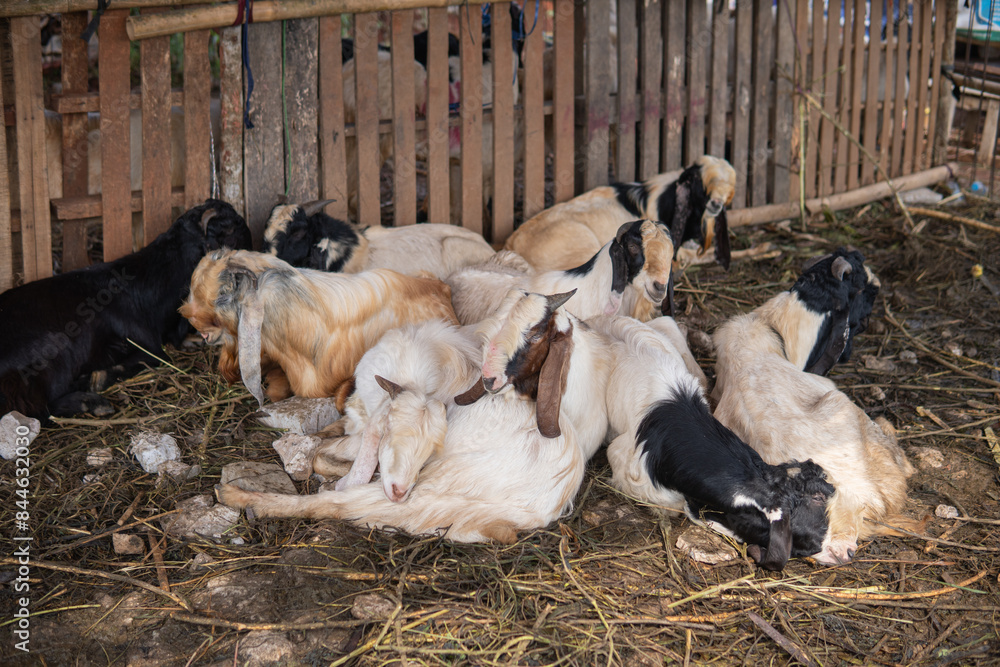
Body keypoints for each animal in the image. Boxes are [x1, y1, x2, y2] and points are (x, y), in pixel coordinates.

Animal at [0, 200, 251, 420]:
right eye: (233, 228)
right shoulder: (149, 346)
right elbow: (151, 358)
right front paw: (98, 379)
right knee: (41, 407)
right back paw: (91, 402)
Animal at [217, 288, 614, 542]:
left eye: (535, 336)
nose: (489, 379)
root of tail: (546, 502)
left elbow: (322, 456)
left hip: (430, 494)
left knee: (331, 506)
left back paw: (237, 496)